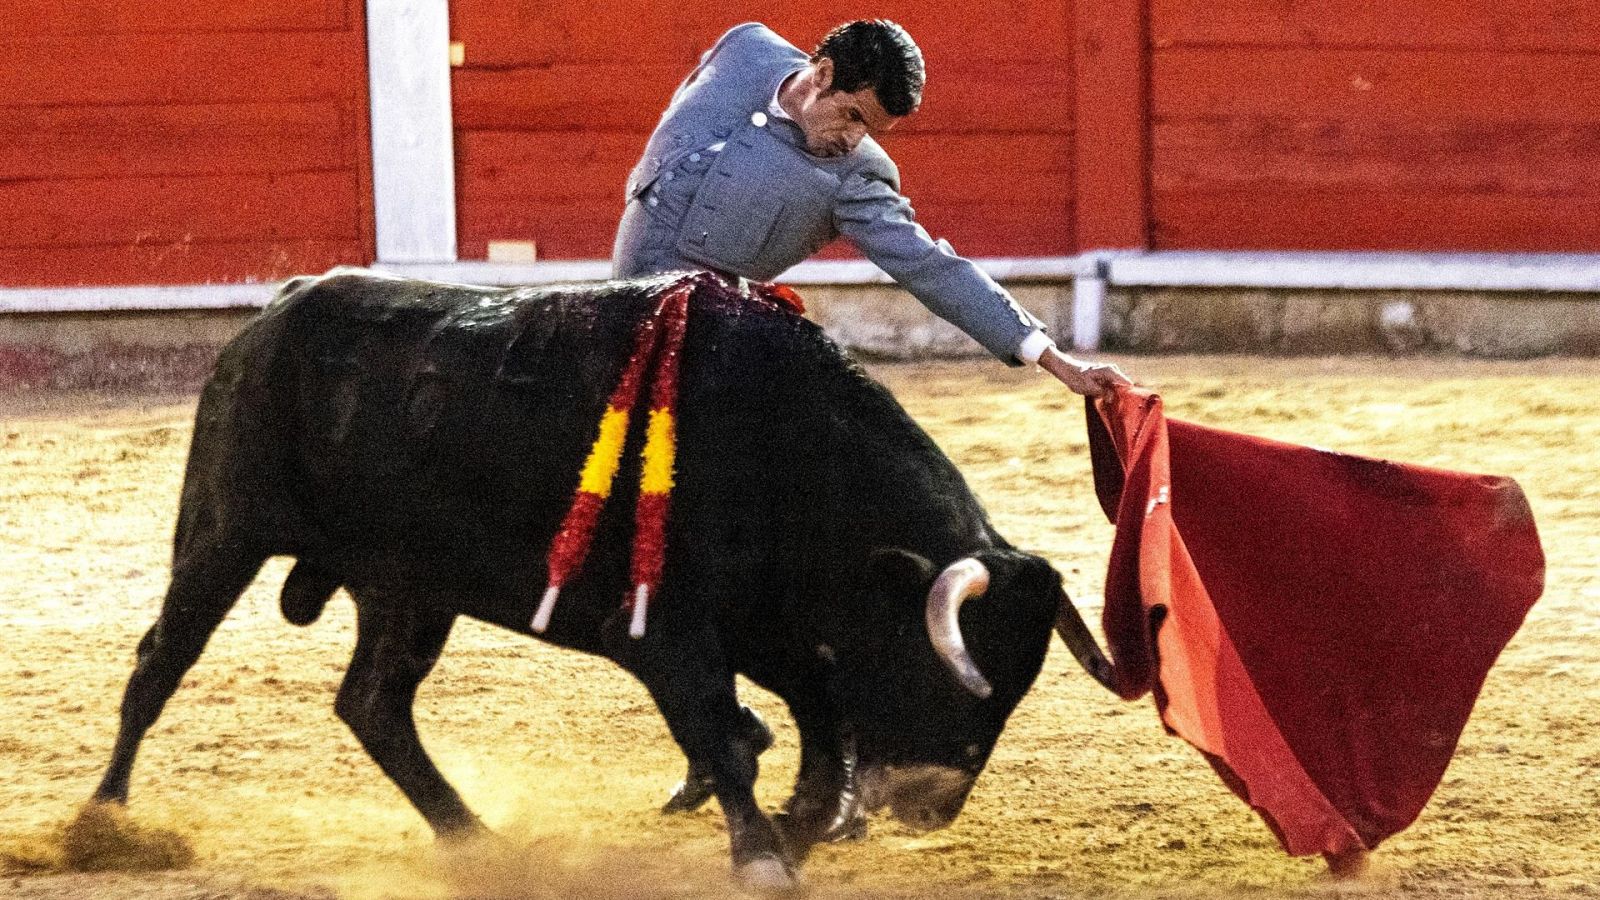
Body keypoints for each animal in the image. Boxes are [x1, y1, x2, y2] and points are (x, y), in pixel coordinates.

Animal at [87, 267, 1113, 883]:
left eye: (1010, 694)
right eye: (940, 670)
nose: (932, 808)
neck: (782, 448)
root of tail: (278, 306)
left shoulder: (784, 638)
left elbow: (817, 742)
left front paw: (795, 827)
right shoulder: (669, 635)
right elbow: (727, 735)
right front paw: (762, 854)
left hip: (407, 587)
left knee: (373, 704)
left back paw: (473, 838)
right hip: (223, 533)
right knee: (158, 664)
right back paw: (103, 823)